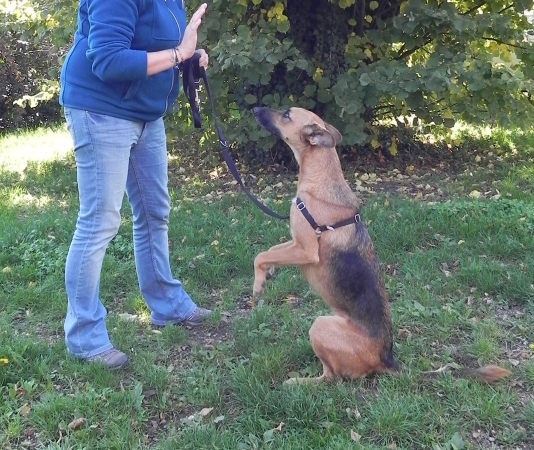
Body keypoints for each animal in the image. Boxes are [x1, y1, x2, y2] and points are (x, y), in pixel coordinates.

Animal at [253, 105, 512, 384]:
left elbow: (260, 255)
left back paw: (300, 382)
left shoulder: (306, 250)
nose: (255, 108)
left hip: (320, 324)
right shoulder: (295, 243)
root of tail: (387, 359)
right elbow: (269, 252)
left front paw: (257, 285)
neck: (320, 178)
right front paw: (266, 275)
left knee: (333, 377)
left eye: (287, 115)